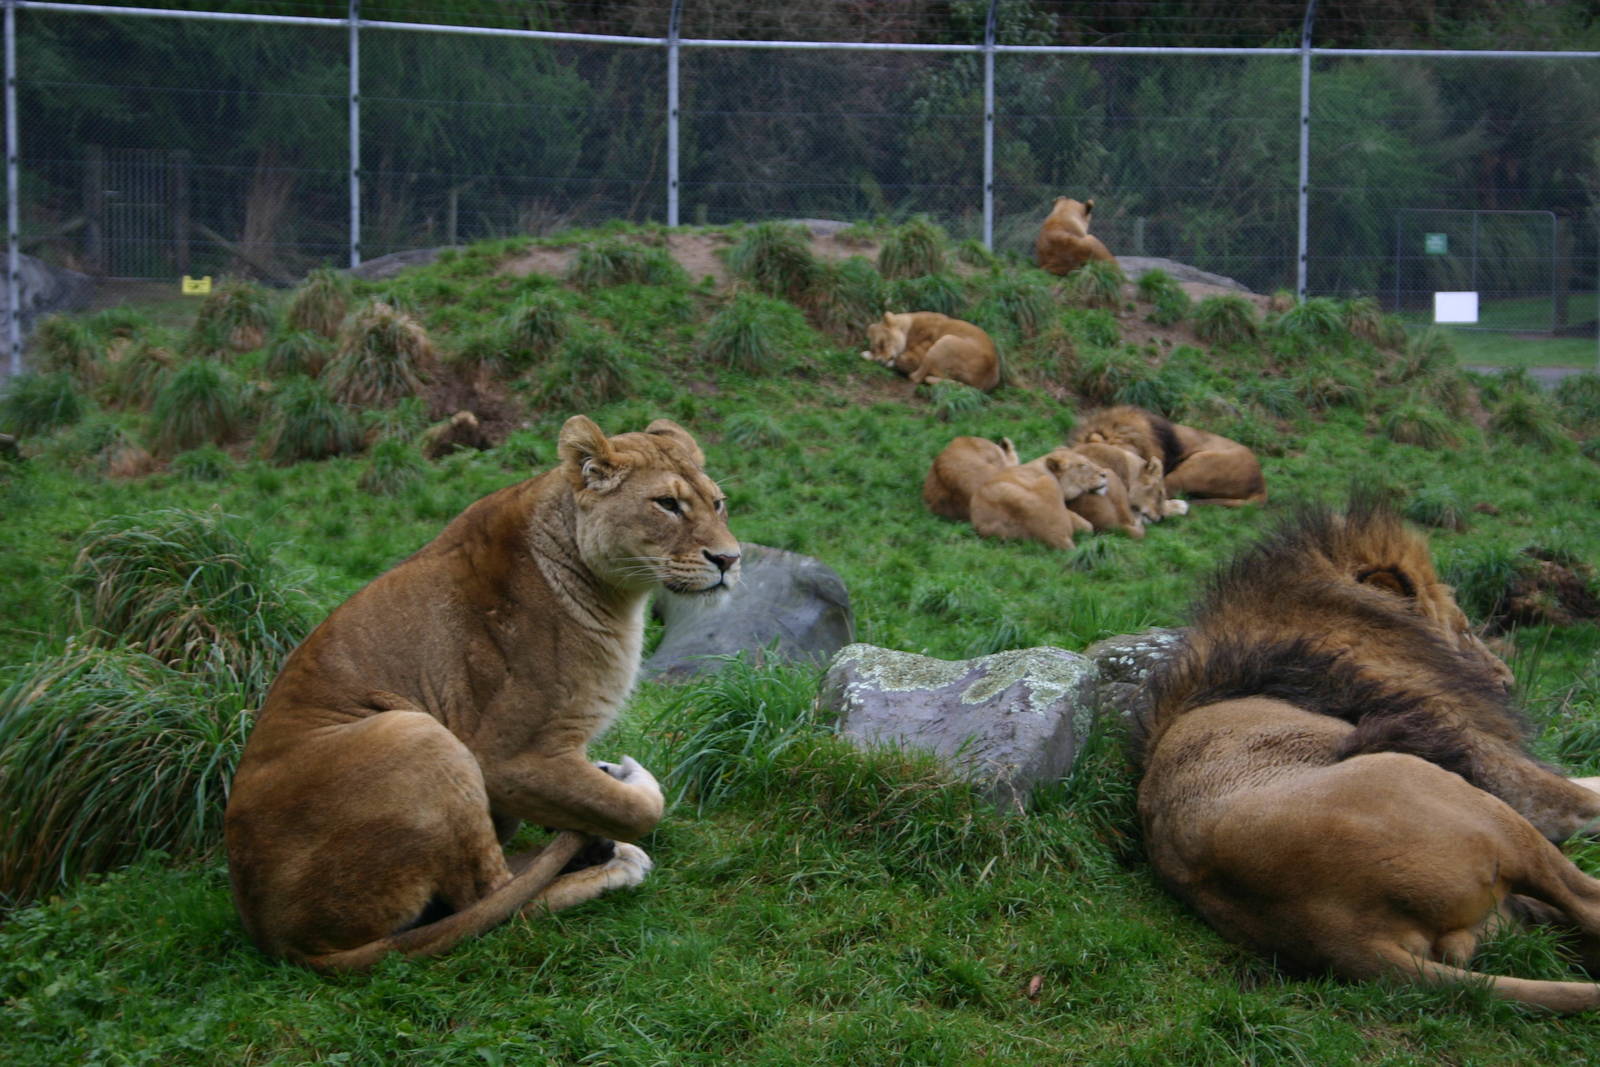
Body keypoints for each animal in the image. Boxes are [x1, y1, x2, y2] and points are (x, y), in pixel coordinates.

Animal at [224, 416, 740, 972]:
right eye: (666, 504)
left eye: (717, 503)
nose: (729, 559)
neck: (616, 594)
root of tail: (281, 942)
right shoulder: (507, 759)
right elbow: (640, 809)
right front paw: (628, 782)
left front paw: (605, 779)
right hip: (416, 733)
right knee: (490, 900)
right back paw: (613, 865)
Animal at [861, 311, 1000, 392]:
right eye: (874, 348)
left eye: (882, 344)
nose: (879, 361)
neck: (908, 329)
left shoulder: (915, 359)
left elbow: (899, 362)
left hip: (945, 341)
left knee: (915, 377)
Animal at [1137, 497, 1600, 1011]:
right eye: (1463, 630)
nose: (1507, 680)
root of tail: (1343, 935)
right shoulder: (1502, 772)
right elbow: (1583, 796)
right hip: (1455, 794)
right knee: (1587, 901)